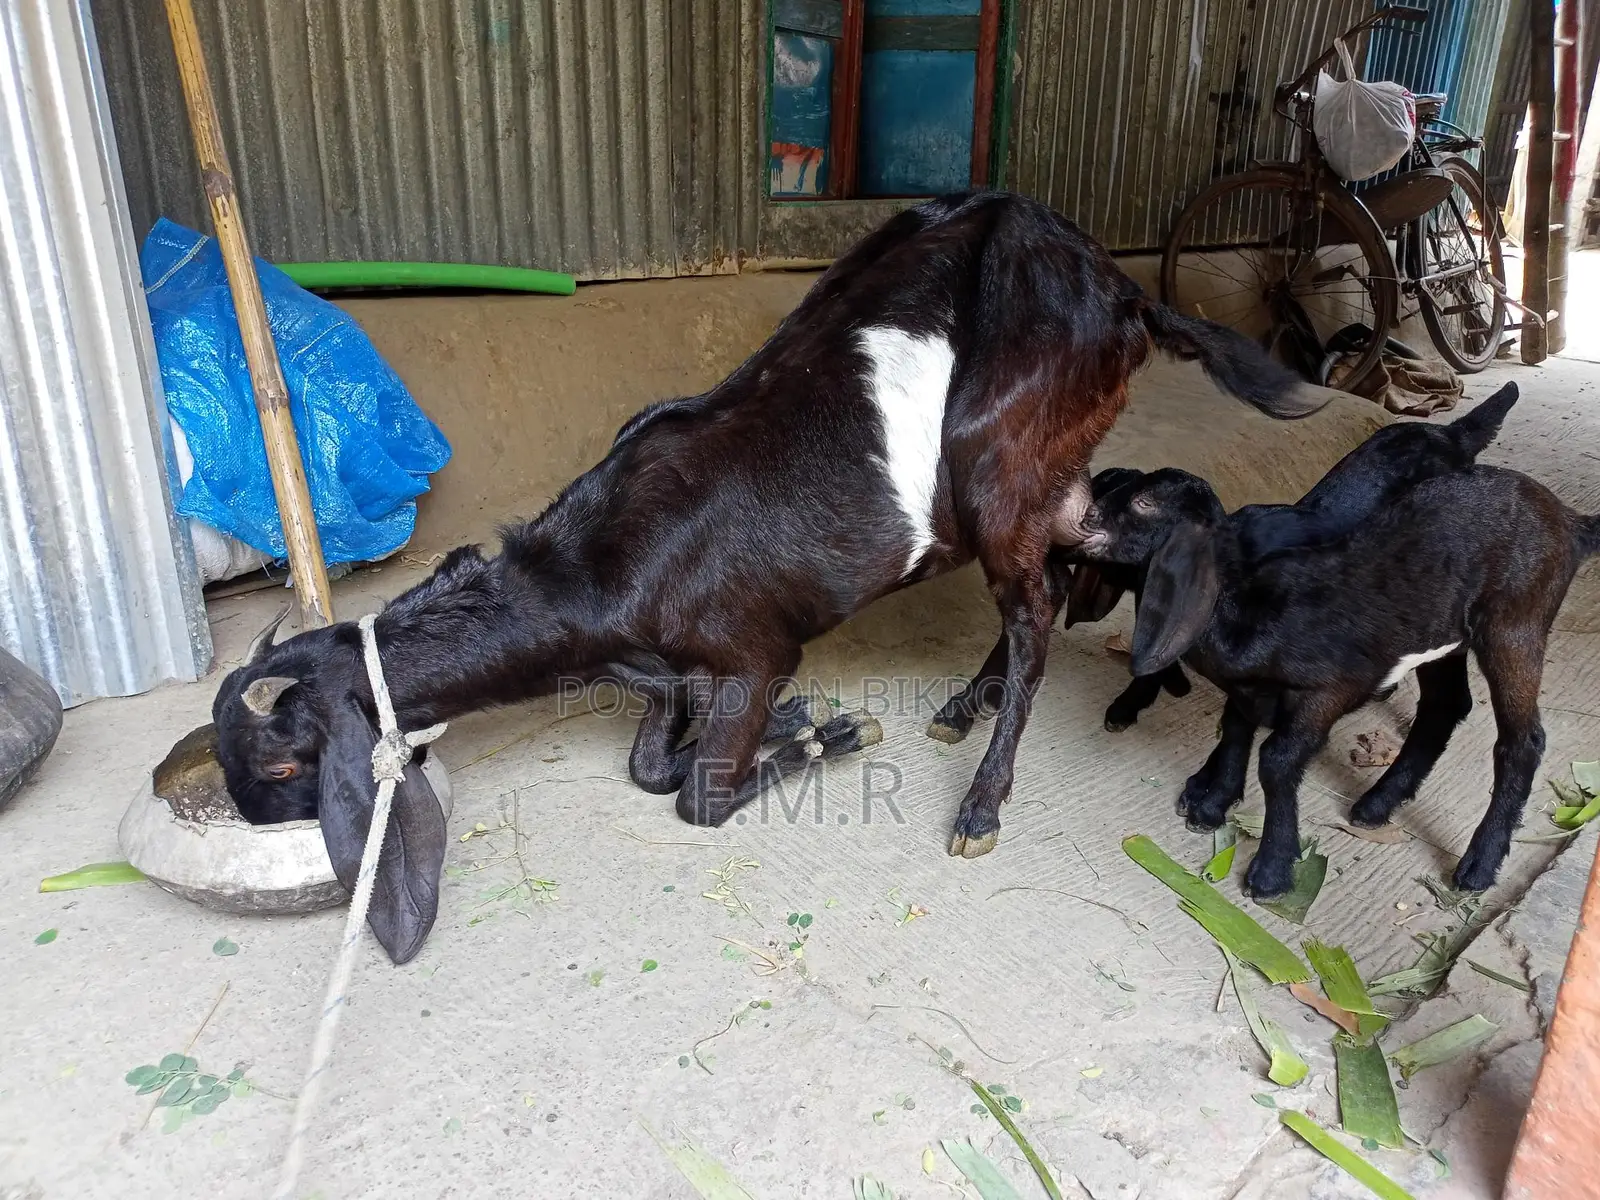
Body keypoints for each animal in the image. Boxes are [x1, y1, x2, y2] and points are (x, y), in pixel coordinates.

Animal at [213, 190, 1318, 961]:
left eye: (281, 770)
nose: (259, 823)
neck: (593, 571)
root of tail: (1124, 290)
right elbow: (651, 756)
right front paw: (769, 725)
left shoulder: (754, 647)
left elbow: (697, 796)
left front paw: (825, 733)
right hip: (1047, 470)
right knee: (1087, 546)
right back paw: (970, 703)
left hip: (1000, 463)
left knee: (1040, 605)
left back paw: (981, 803)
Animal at [1077, 440, 1598, 898]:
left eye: (1144, 502)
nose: (1087, 517)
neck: (1243, 602)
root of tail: (1571, 522)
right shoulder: (1250, 689)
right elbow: (1236, 729)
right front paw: (1211, 804)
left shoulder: (1329, 690)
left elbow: (1277, 760)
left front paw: (1271, 872)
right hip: (1441, 634)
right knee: (1445, 704)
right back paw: (1377, 804)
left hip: (1516, 624)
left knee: (1522, 741)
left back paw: (1478, 865)